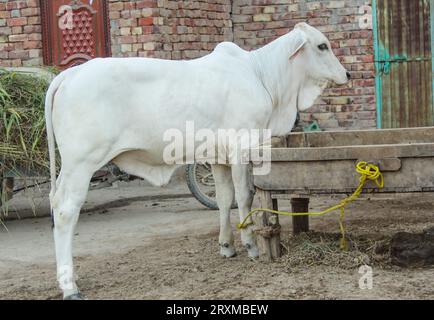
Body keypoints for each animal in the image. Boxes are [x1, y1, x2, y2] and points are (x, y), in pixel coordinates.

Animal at [45, 21, 350, 298]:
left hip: (69, 168)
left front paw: (226, 246)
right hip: (81, 164)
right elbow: (245, 196)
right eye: (322, 46)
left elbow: (225, 199)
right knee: (66, 211)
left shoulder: (218, 157)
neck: (262, 75)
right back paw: (69, 285)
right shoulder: (242, 149)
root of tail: (70, 74)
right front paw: (250, 245)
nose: (347, 73)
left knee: (55, 202)